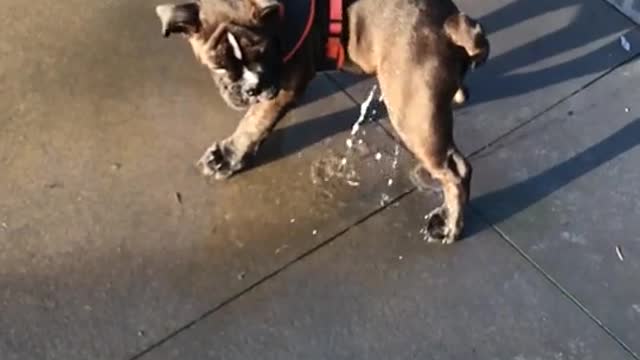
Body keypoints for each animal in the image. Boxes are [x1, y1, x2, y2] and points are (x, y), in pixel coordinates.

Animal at [155, 0, 490, 245]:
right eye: (219, 65)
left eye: (263, 51)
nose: (252, 88)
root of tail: (451, 22)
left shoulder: (284, 83)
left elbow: (254, 123)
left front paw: (228, 156)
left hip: (411, 111)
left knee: (456, 172)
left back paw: (449, 225)